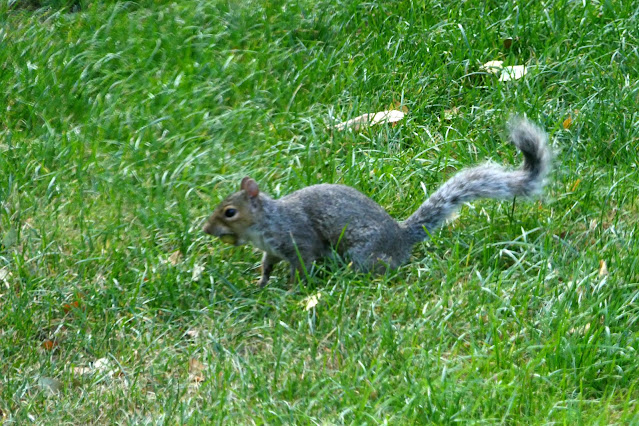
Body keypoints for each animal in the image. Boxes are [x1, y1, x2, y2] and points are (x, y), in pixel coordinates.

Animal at [203, 117, 551, 287]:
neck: (265, 223)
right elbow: (266, 264)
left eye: (229, 212)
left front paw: (291, 289)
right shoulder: (271, 250)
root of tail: (401, 238)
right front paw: (261, 282)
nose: (206, 229)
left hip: (361, 251)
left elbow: (302, 265)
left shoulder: (297, 240)